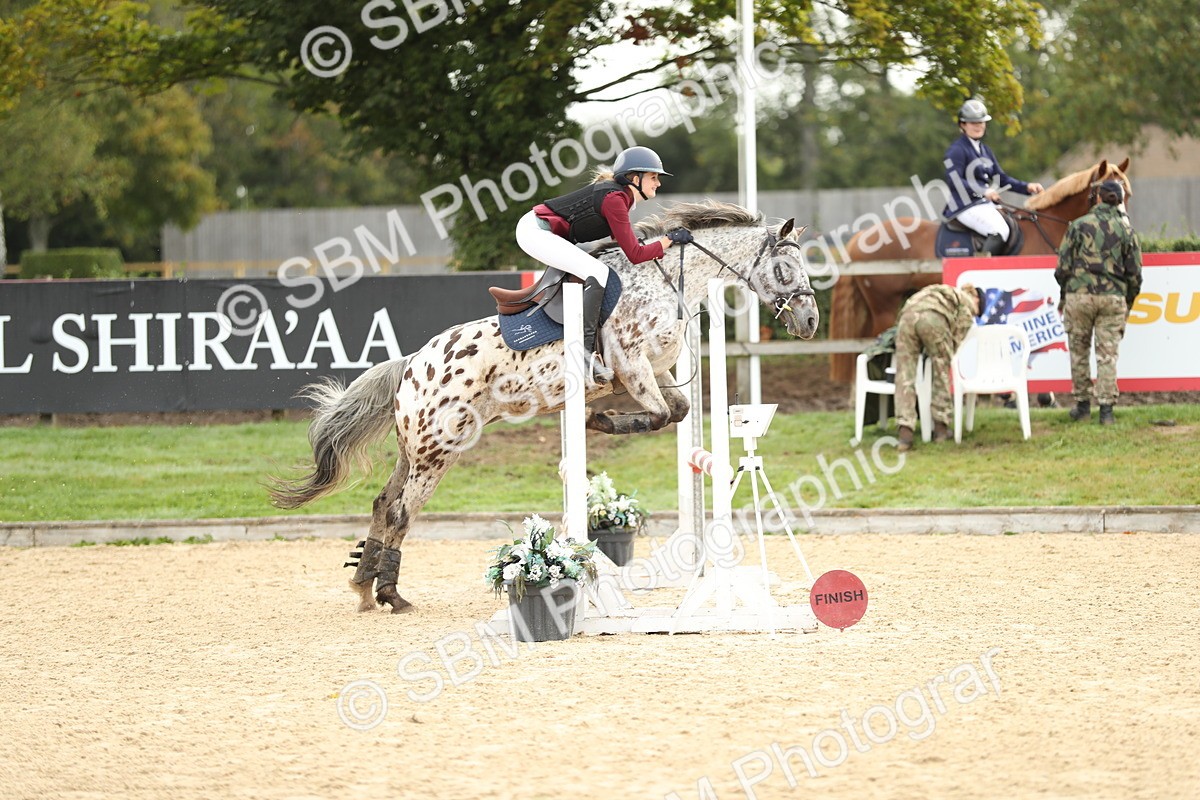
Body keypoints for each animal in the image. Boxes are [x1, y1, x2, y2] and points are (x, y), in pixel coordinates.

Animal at [268, 200, 819, 614]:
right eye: (786, 268)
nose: (811, 322)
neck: (664, 281)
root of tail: (411, 365)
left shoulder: (657, 372)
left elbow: (680, 409)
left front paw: (601, 418)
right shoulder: (633, 367)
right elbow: (663, 414)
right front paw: (601, 419)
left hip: (414, 449)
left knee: (384, 503)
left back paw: (364, 587)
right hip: (438, 451)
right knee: (402, 510)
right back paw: (391, 595)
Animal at [828, 158, 1132, 382]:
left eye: (1126, 193)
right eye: (1106, 193)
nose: (1124, 228)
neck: (1046, 226)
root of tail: (860, 239)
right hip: (884, 305)